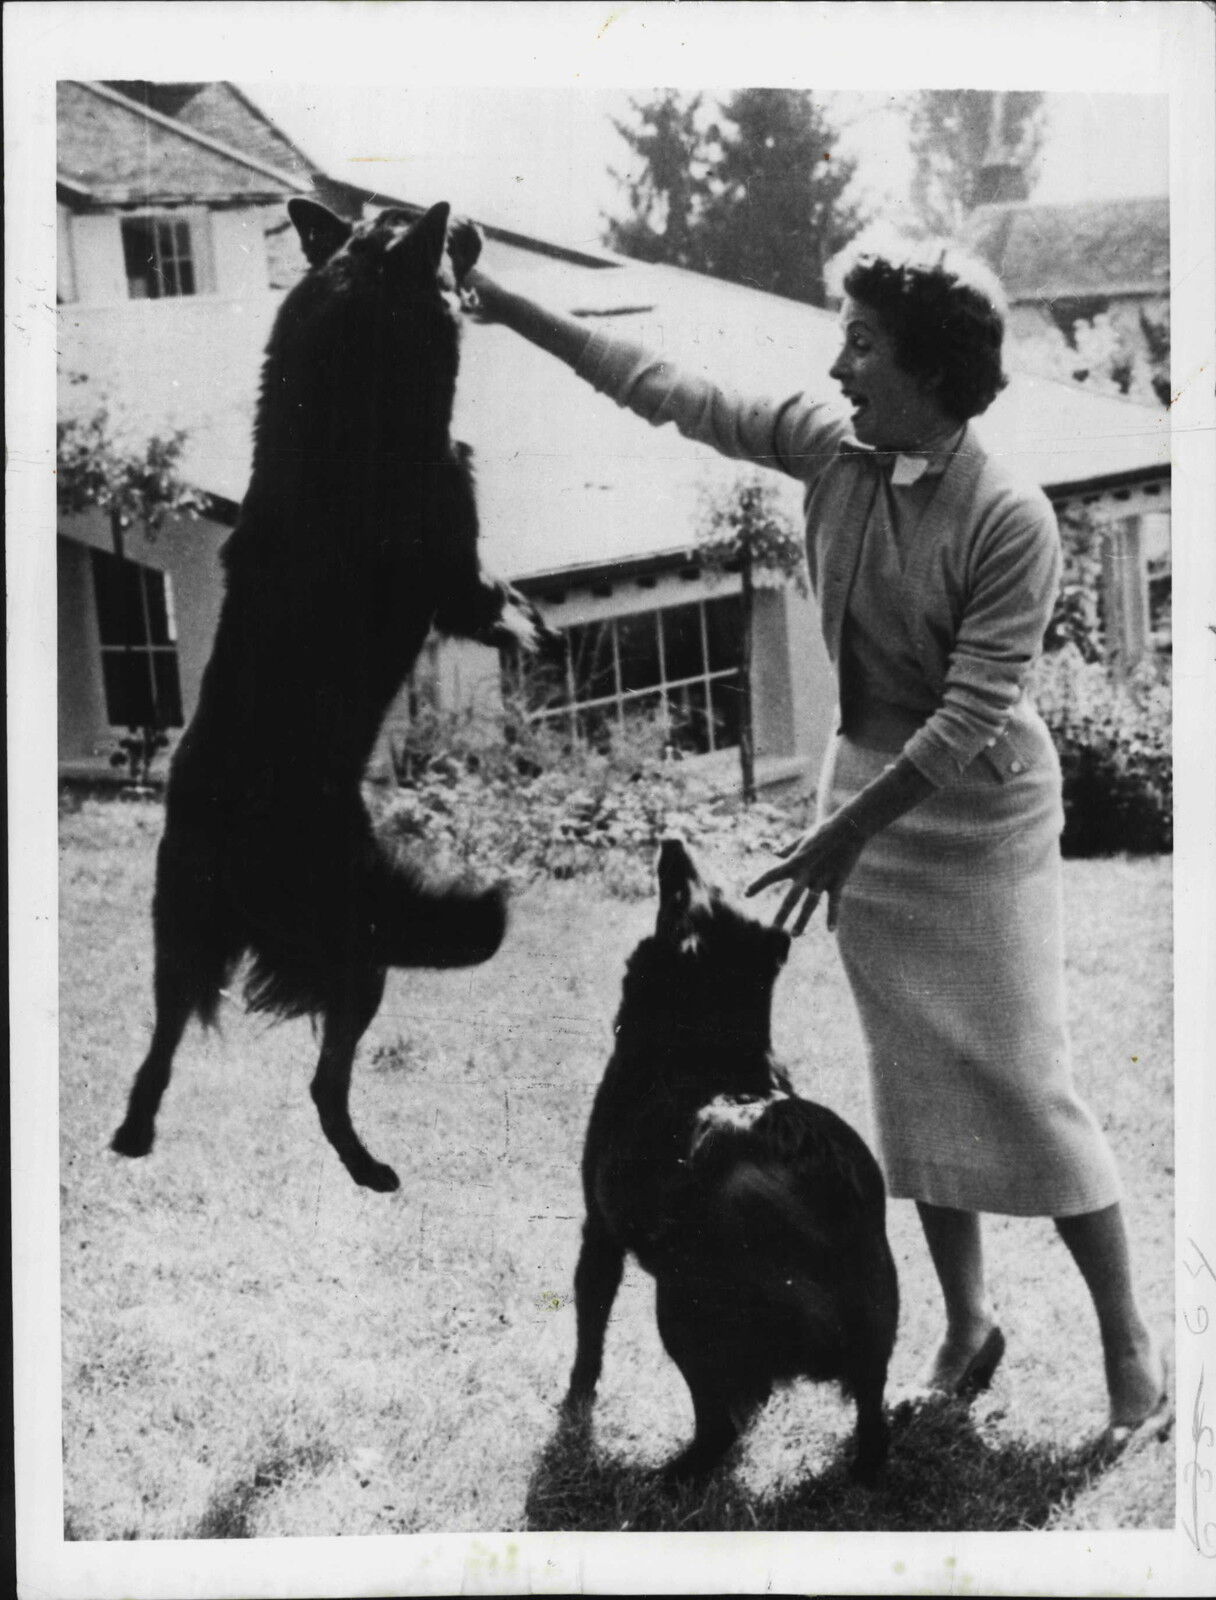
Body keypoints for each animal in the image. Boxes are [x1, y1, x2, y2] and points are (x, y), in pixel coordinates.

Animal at [112, 200, 544, 1190]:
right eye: (442, 232)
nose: (472, 225)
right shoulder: (450, 550)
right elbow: (485, 597)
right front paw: (524, 622)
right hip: (358, 953)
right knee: (323, 1080)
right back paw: (369, 1167)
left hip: (182, 943)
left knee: (160, 1051)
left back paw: (135, 1136)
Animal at [566, 838, 896, 1484]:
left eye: (687, 892)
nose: (672, 842)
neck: (712, 1047)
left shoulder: (599, 1231)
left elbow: (589, 1337)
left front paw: (575, 1409)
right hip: (877, 1329)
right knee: (870, 1418)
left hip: (684, 1307)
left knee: (719, 1423)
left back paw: (673, 1475)